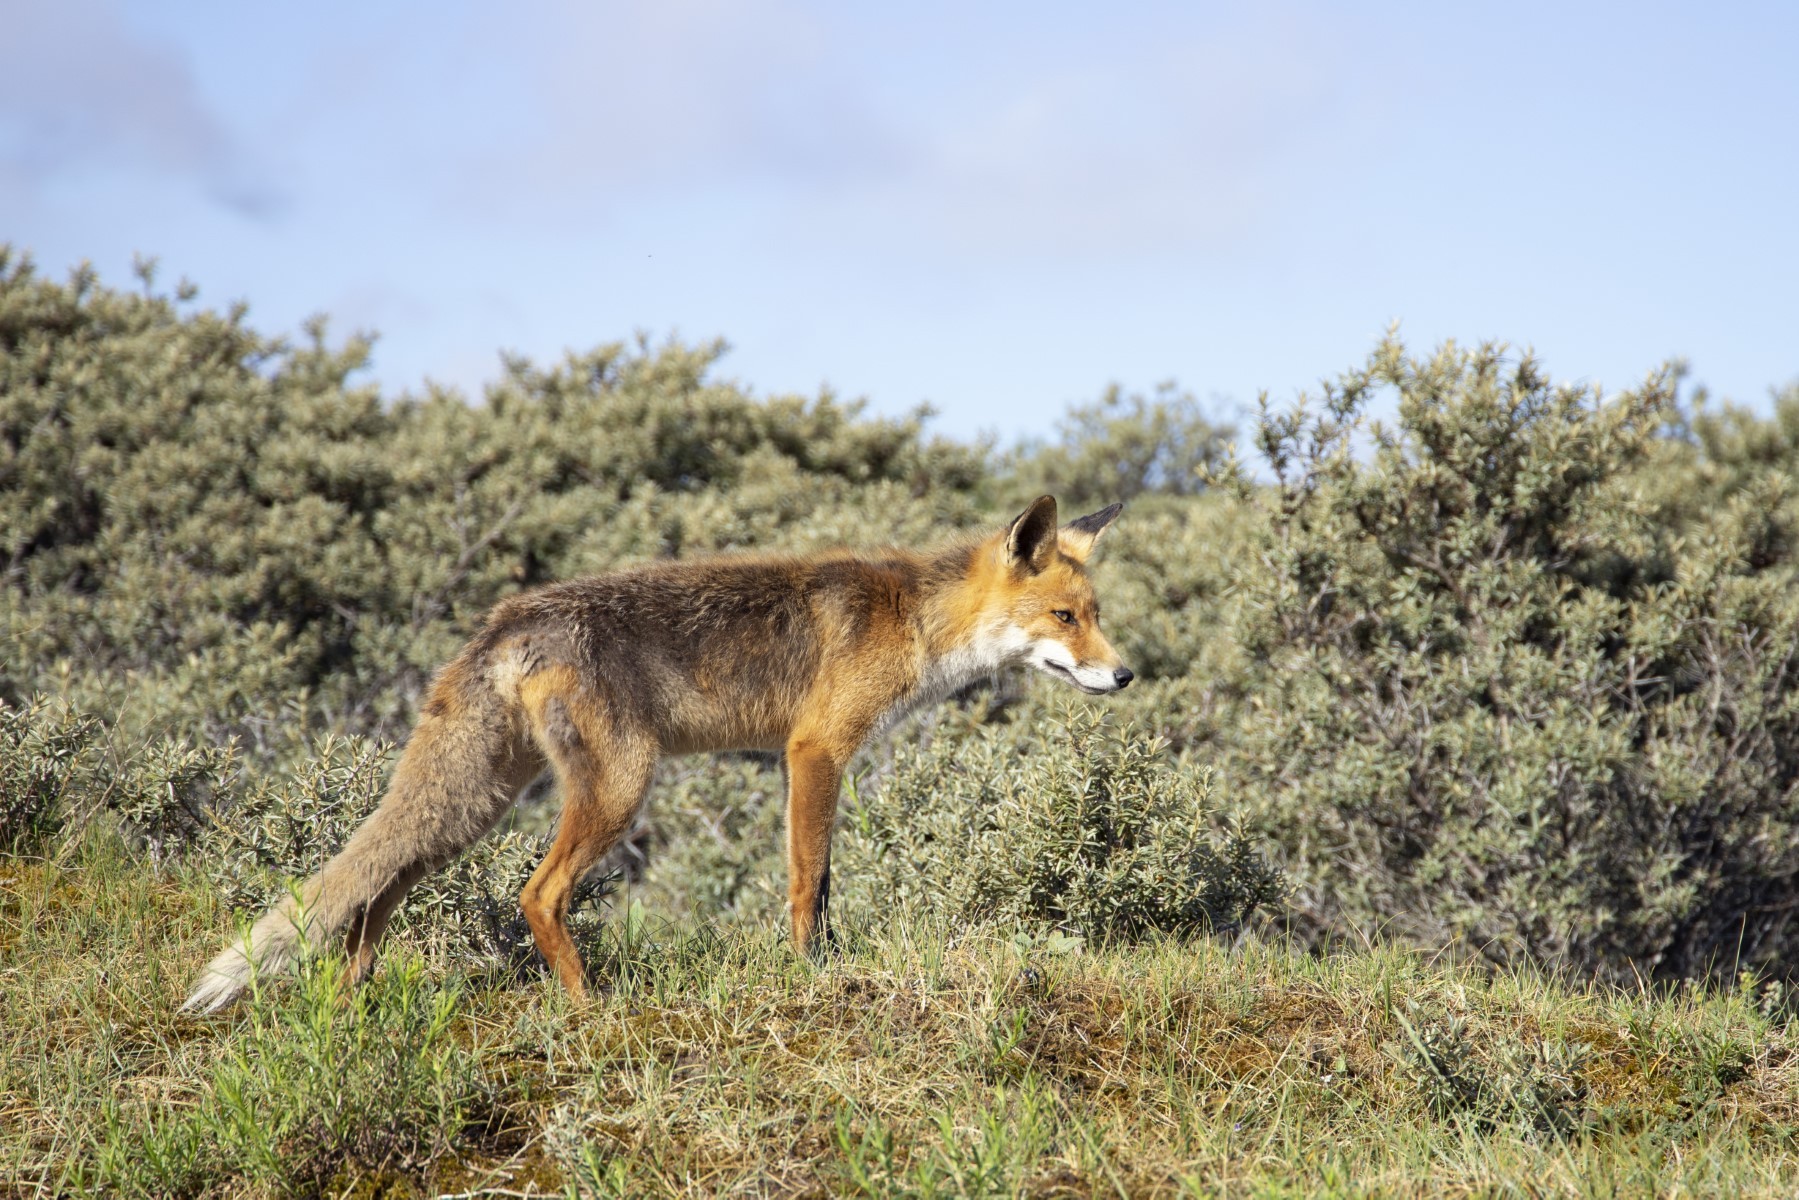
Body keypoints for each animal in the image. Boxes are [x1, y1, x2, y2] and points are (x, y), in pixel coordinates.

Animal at [183, 495, 1130, 1012]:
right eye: (1064, 617)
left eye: (1093, 614)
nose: (1123, 674)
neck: (912, 620)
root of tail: (505, 620)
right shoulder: (813, 749)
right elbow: (805, 884)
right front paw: (811, 972)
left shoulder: (822, 758)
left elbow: (822, 883)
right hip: (617, 788)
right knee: (535, 895)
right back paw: (585, 1005)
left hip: (481, 801)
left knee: (379, 883)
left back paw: (353, 994)